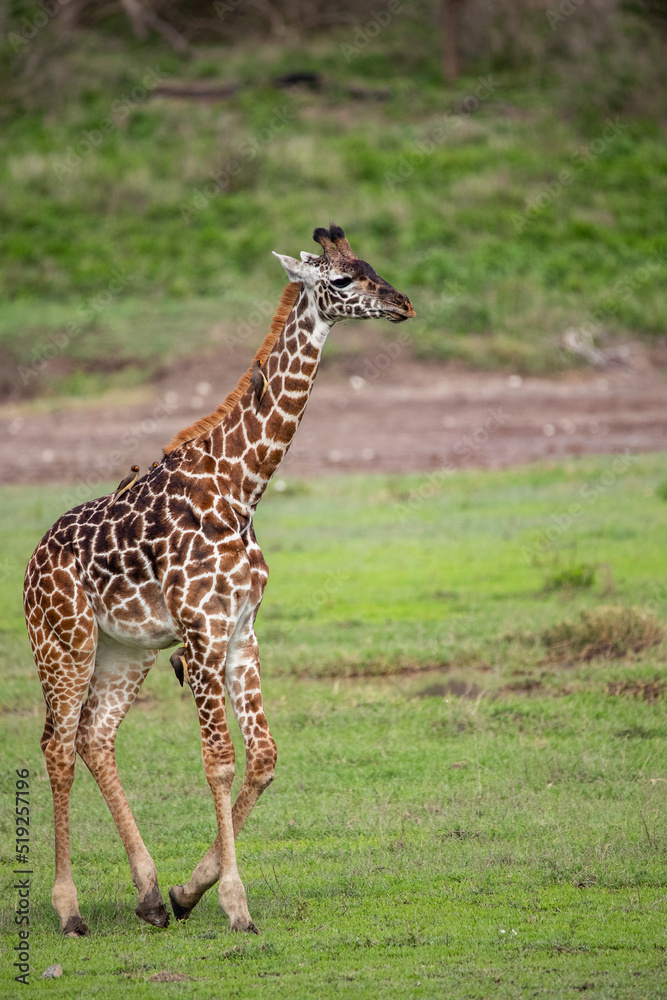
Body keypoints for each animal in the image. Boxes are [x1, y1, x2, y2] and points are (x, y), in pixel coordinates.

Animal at [23, 225, 414, 936]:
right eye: (341, 280)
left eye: (372, 264)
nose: (403, 304)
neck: (242, 488)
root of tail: (31, 565)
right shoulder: (203, 632)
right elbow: (220, 762)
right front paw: (235, 903)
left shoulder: (240, 630)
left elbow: (263, 757)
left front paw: (188, 891)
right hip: (64, 643)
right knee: (57, 746)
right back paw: (68, 909)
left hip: (127, 650)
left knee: (95, 736)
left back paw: (149, 895)